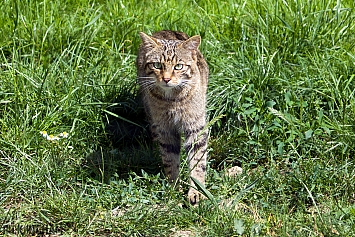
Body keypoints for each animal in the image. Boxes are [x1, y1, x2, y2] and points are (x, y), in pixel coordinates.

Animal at [136, 29, 209, 204]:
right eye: (157, 65)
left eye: (178, 66)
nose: (166, 79)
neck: (172, 101)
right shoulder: (165, 130)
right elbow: (170, 160)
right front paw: (174, 188)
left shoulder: (196, 127)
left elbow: (198, 161)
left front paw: (196, 191)